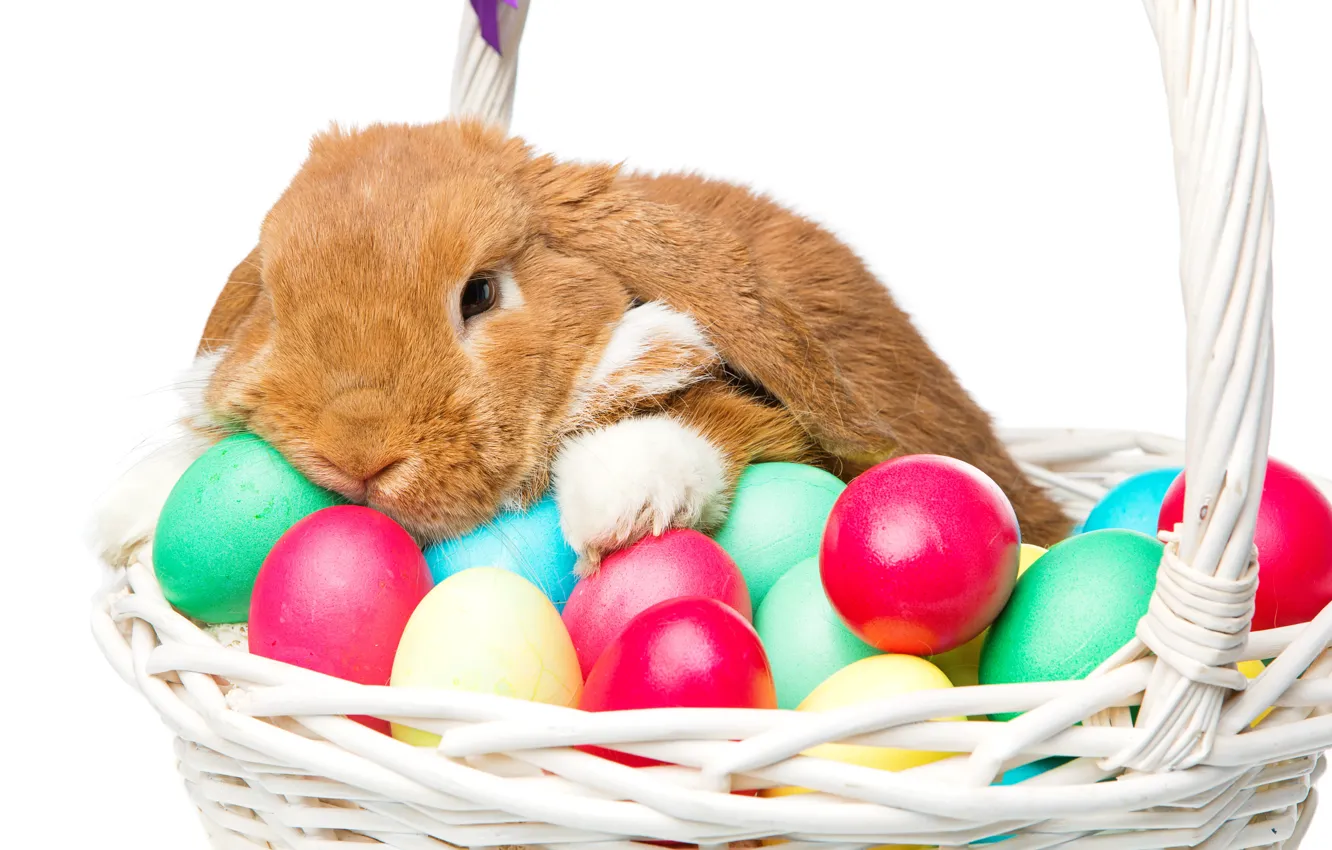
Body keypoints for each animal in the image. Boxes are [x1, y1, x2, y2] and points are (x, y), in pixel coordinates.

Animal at [95, 119, 1069, 573]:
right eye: (276, 297)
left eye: (480, 294)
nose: (357, 456)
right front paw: (134, 510)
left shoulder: (771, 422)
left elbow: (706, 415)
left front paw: (617, 501)